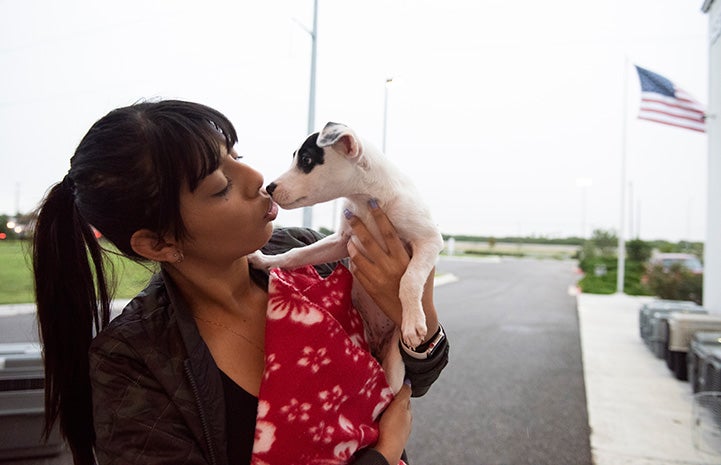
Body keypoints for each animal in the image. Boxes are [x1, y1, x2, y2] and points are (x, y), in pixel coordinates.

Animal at [252, 121, 444, 390]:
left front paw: (414, 322)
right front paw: (265, 260)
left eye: (307, 160)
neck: (367, 199)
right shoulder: (340, 242)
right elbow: (297, 254)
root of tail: (376, 342)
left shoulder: (429, 240)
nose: (269, 188)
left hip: (395, 368)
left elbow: (410, 278)